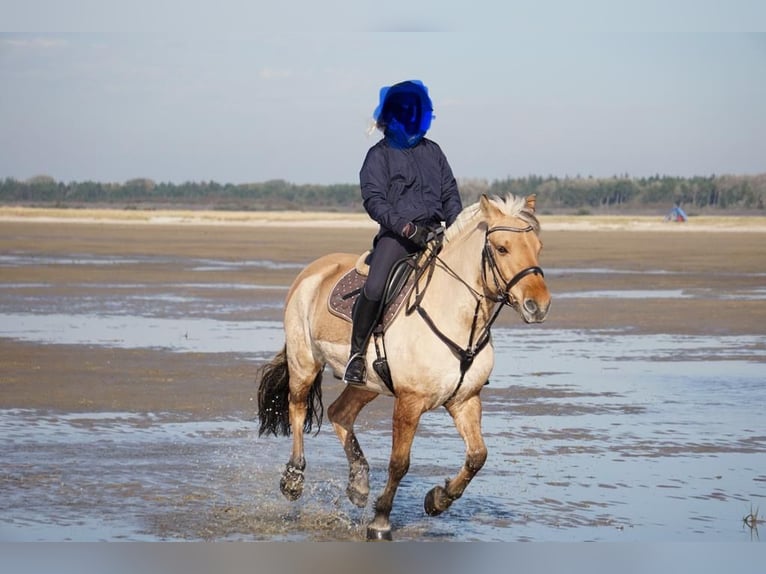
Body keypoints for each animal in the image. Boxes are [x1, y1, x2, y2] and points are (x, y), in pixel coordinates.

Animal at [257, 193, 551, 540]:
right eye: (503, 248)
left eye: (538, 247)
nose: (539, 306)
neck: (455, 316)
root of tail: (313, 270)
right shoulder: (410, 401)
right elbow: (399, 463)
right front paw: (381, 521)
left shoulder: (465, 399)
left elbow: (478, 456)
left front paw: (437, 500)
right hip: (304, 362)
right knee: (298, 408)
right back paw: (293, 479)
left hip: (366, 382)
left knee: (340, 413)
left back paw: (358, 484)